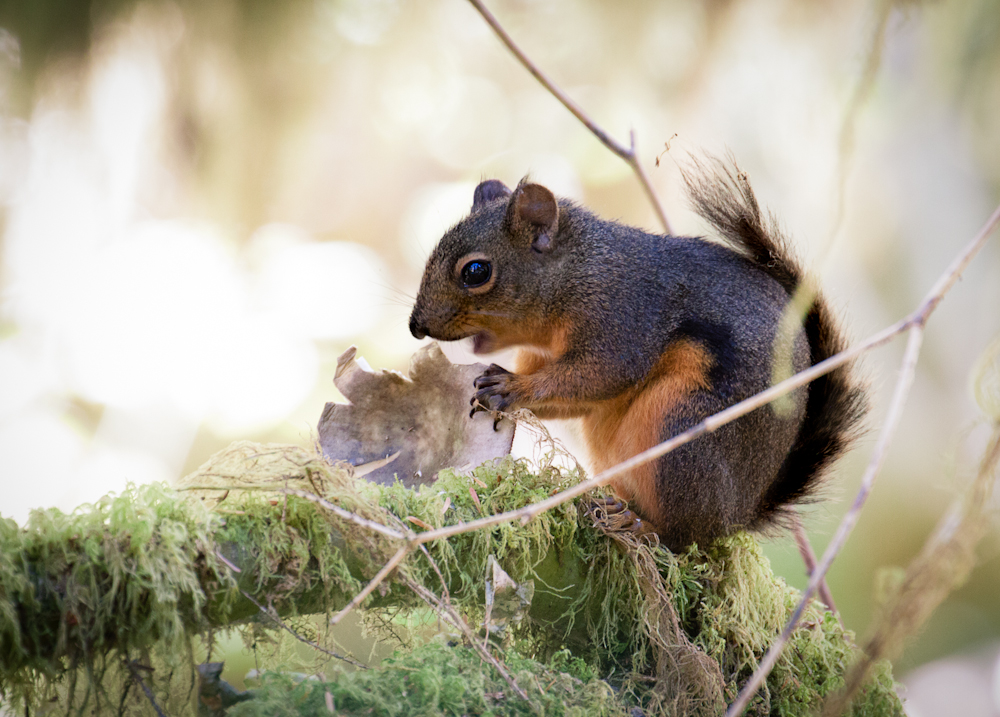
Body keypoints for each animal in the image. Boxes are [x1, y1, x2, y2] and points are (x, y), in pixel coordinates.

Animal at [410, 157, 864, 548]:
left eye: (476, 272)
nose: (416, 327)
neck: (578, 272)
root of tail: (739, 516)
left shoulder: (624, 316)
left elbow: (603, 375)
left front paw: (509, 388)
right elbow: (571, 398)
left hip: (683, 429)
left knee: (684, 537)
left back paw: (644, 527)